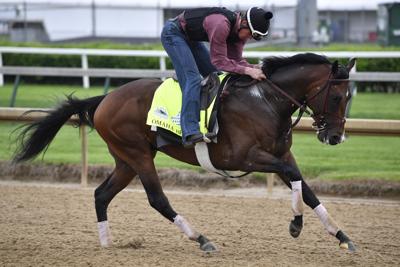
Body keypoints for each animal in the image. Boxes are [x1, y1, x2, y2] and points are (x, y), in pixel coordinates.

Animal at [11, 52, 356, 253]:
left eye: (350, 96)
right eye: (337, 96)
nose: (336, 136)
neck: (265, 100)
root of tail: (105, 98)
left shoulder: (281, 155)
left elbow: (306, 188)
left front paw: (341, 235)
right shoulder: (243, 157)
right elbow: (295, 178)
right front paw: (296, 224)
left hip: (125, 159)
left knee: (101, 194)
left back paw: (107, 243)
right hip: (138, 154)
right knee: (156, 199)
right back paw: (200, 238)